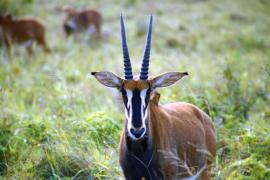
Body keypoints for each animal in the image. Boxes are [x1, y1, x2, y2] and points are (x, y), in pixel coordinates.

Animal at [92, 14, 216, 179]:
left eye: (149, 92)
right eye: (123, 93)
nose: (137, 131)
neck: (139, 152)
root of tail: (202, 115)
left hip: (205, 172)